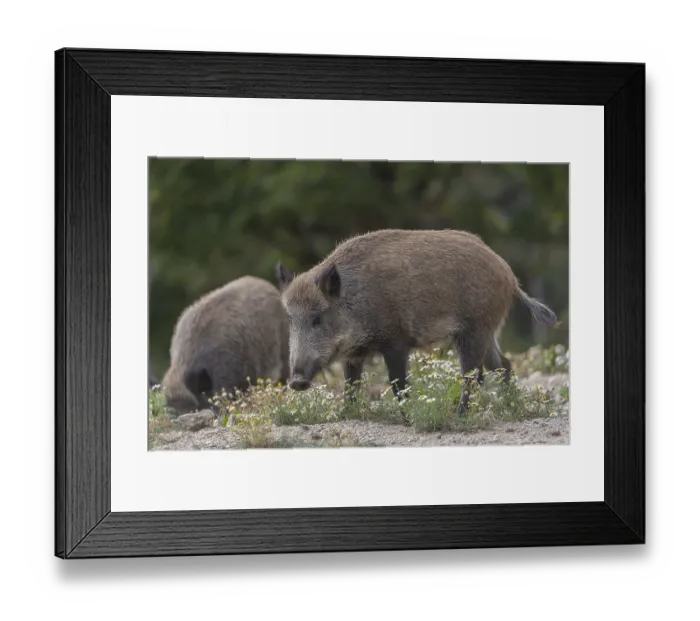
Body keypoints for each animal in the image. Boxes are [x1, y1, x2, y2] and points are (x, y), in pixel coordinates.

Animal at [276, 229, 558, 414]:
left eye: (317, 318)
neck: (356, 302)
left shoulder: (396, 341)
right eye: (290, 319)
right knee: (503, 366)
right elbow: (351, 385)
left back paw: (460, 414)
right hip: (488, 332)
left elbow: (398, 383)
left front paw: (407, 414)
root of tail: (509, 274)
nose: (296, 381)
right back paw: (510, 406)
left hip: (475, 329)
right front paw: (346, 414)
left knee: (473, 375)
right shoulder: (354, 353)